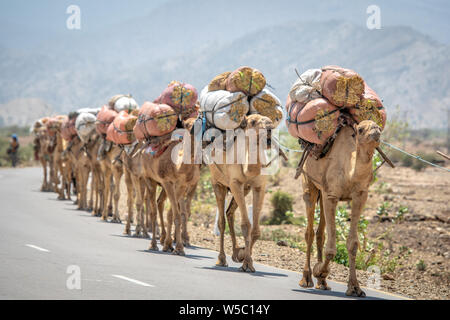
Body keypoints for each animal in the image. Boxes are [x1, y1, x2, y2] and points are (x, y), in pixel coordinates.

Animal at [208, 114, 274, 272]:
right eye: (253, 122)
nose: (270, 125)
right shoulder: (235, 183)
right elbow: (245, 225)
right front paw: (247, 263)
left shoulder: (259, 186)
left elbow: (255, 230)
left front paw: (243, 255)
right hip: (217, 183)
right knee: (221, 221)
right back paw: (221, 259)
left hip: (245, 189)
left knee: (229, 212)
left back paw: (235, 252)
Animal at [298, 120, 380, 298]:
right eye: (360, 129)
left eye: (378, 126)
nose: (376, 131)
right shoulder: (331, 196)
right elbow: (330, 249)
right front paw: (319, 271)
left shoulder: (360, 197)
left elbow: (353, 244)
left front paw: (355, 288)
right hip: (309, 182)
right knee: (309, 231)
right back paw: (306, 278)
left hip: (322, 192)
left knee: (320, 233)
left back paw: (322, 283)